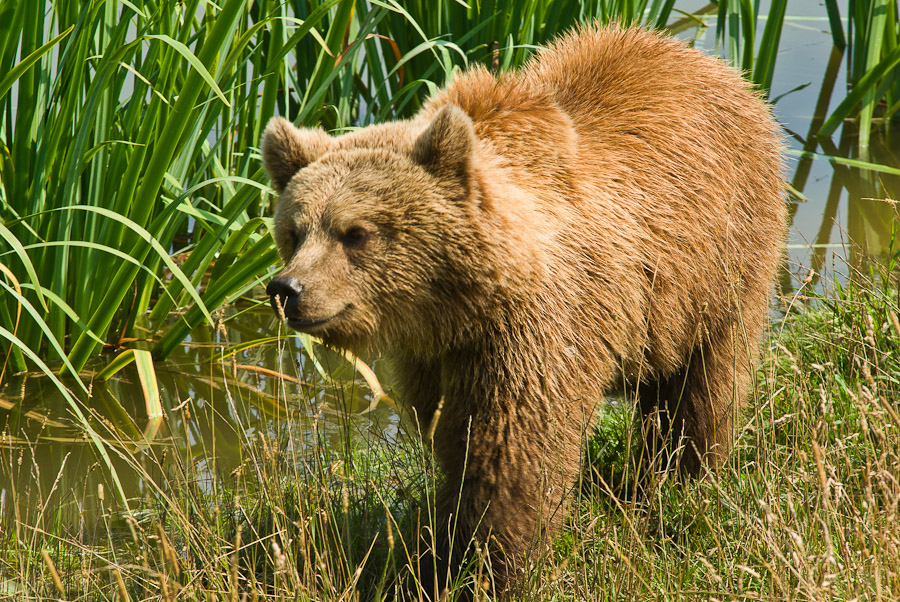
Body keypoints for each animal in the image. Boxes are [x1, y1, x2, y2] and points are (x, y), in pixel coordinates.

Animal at [258, 24, 780, 600]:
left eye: (355, 232)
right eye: (294, 231)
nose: (287, 288)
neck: (457, 304)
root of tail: (712, 66)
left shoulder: (532, 335)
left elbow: (511, 458)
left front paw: (484, 567)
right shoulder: (437, 361)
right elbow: (454, 443)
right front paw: (437, 550)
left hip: (719, 267)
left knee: (703, 389)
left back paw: (679, 482)